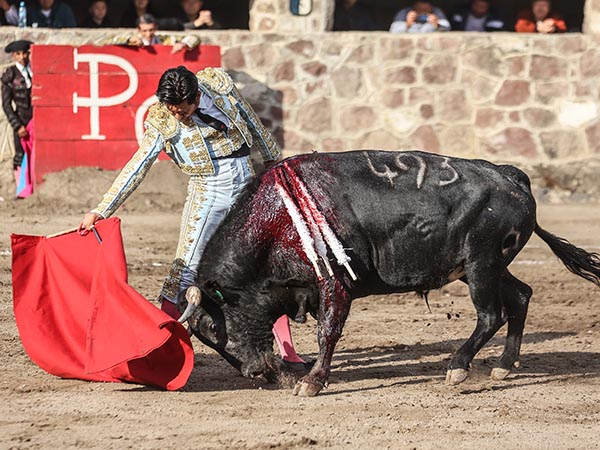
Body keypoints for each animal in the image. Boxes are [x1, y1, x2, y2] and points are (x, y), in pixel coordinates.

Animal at [177, 149, 600, 396]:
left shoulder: (334, 282)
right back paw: (502, 366)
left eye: (212, 326)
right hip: (483, 267)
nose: (253, 373)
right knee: (521, 296)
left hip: (482, 264)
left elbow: (328, 330)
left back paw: (458, 367)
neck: (277, 219)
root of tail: (511, 176)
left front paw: (312, 382)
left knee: (491, 314)